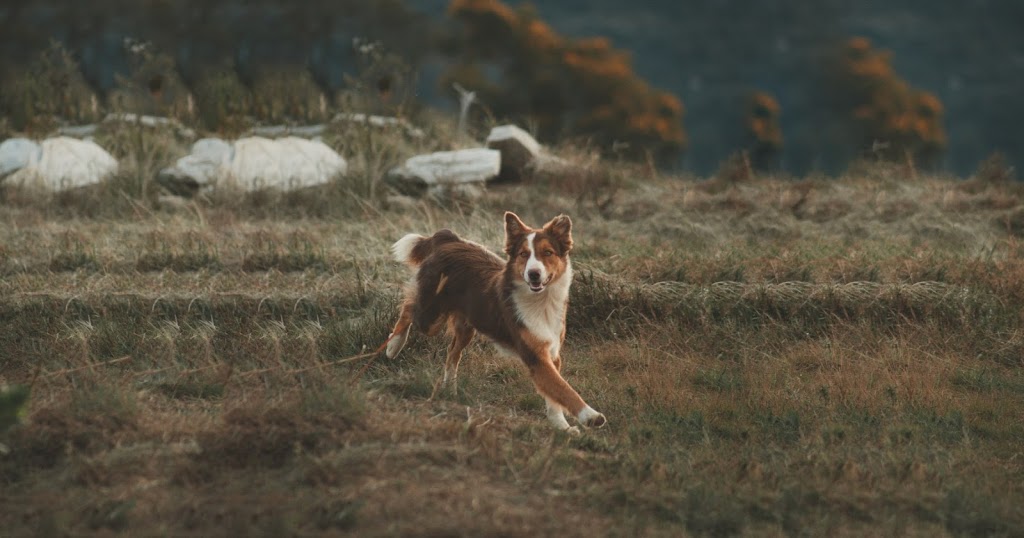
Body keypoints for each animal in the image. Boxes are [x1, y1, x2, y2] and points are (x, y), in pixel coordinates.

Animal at [385, 211, 606, 432]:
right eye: (523, 254)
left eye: (548, 252)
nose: (533, 274)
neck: (541, 301)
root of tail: (448, 239)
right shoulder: (536, 356)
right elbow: (564, 389)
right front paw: (590, 416)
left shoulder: (551, 353)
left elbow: (555, 396)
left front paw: (561, 426)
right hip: (430, 316)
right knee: (409, 307)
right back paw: (394, 345)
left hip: (466, 327)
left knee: (452, 351)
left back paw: (450, 387)